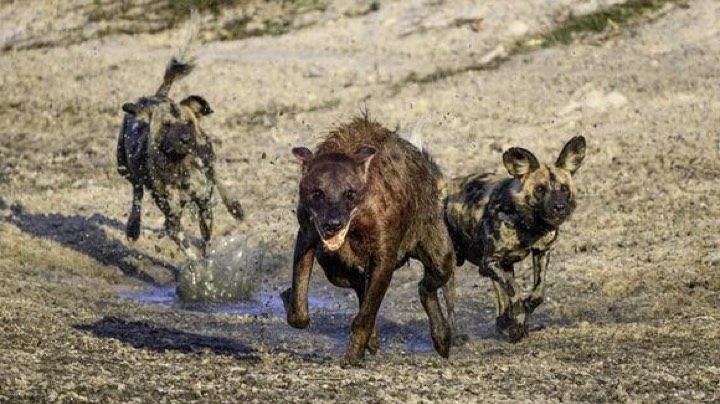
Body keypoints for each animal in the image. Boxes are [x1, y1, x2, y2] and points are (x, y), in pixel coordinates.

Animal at [116, 17, 243, 260]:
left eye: (188, 123)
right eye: (166, 126)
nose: (185, 139)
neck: (179, 167)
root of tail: (157, 96)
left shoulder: (204, 206)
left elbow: (206, 246)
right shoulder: (172, 219)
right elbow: (190, 253)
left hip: (208, 156)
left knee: (217, 177)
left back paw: (235, 207)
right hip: (123, 168)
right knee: (136, 191)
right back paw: (133, 228)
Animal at [282, 114, 456, 366]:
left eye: (350, 194)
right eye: (318, 193)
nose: (333, 223)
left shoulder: (385, 253)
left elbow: (366, 313)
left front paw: (353, 357)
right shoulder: (308, 234)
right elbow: (299, 309)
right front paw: (288, 297)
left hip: (438, 249)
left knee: (429, 282)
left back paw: (442, 339)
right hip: (332, 263)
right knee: (354, 279)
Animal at [444, 136, 584, 340]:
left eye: (564, 189)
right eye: (540, 189)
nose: (559, 207)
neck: (529, 224)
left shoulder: (541, 253)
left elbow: (537, 293)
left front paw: (520, 318)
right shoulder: (489, 263)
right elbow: (516, 291)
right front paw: (518, 317)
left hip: (504, 266)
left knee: (501, 298)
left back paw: (505, 326)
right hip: (451, 267)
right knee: (450, 305)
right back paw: (456, 337)